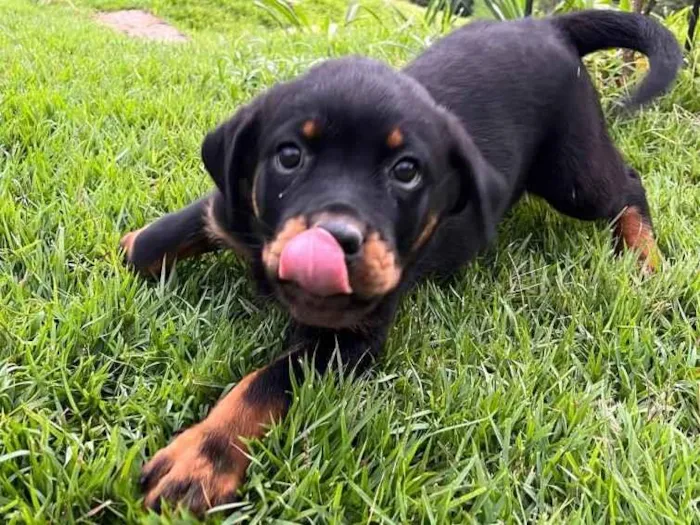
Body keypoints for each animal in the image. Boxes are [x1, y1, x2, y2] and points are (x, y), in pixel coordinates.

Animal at [123, 10, 680, 512]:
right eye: (289, 156)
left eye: (406, 171)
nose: (336, 240)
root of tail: (548, 23)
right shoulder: (227, 206)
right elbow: (156, 241)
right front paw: (130, 245)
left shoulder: (347, 340)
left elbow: (265, 383)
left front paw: (202, 459)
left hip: (573, 172)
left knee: (628, 186)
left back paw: (646, 261)